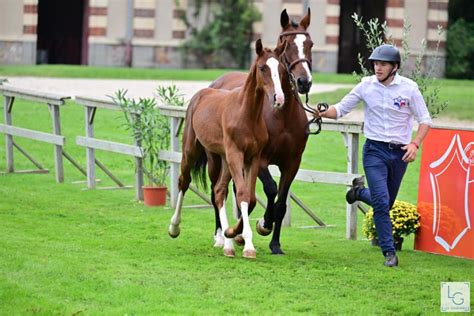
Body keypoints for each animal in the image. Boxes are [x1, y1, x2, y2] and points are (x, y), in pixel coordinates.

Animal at [168, 38, 286, 258]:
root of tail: (203, 92)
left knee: (219, 191)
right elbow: (242, 194)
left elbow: (250, 198)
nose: (278, 99)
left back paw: (228, 243)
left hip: (222, 158)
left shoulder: (252, 158)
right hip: (193, 151)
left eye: (281, 68)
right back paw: (174, 227)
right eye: (262, 68)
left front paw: (235, 234)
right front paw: (247, 244)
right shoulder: (235, 155)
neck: (246, 114)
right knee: (184, 181)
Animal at [209, 8, 312, 254]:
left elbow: (281, 202)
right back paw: (220, 236)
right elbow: (271, 189)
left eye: (310, 44)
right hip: (215, 159)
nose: (304, 82)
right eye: (287, 43)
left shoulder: (292, 163)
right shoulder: (261, 159)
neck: (282, 116)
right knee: (216, 191)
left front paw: (275, 244)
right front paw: (264, 224)